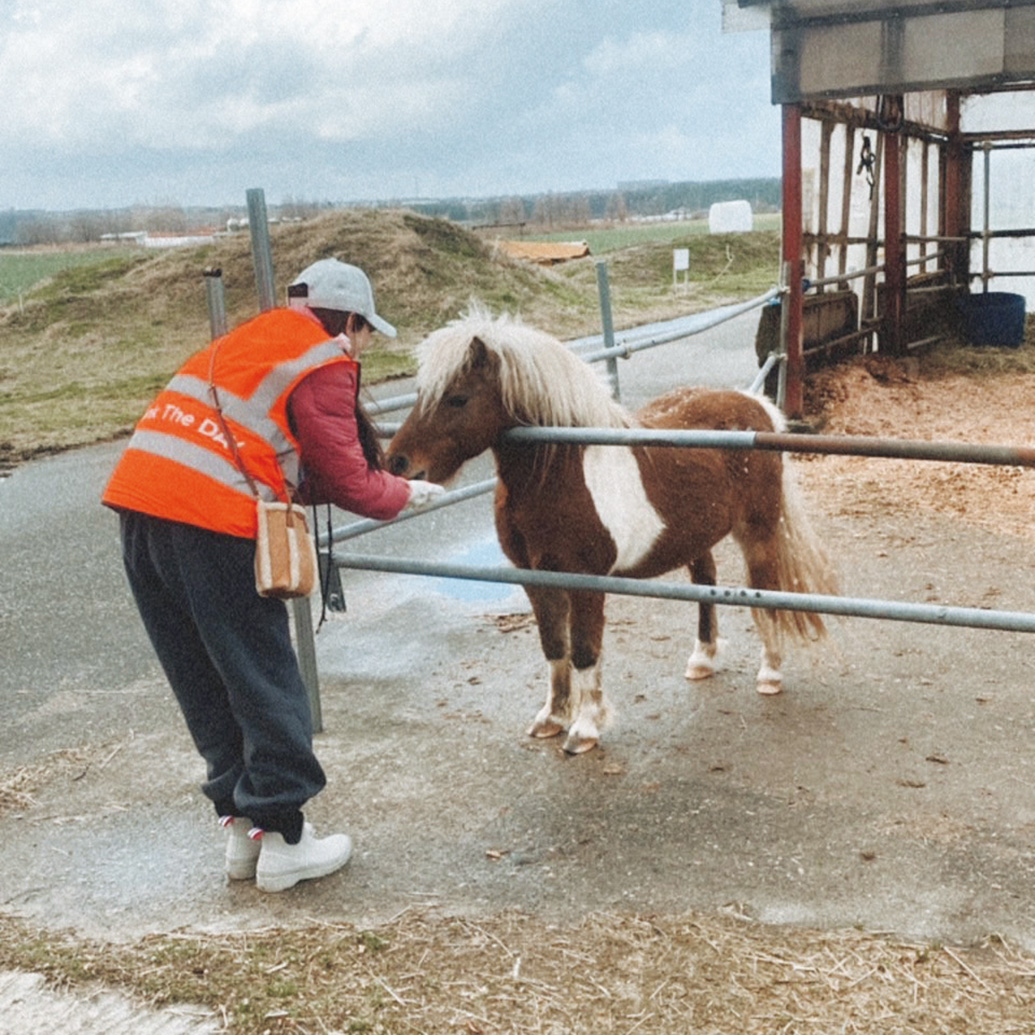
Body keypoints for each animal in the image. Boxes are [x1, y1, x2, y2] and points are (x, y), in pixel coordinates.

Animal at [389, 306, 840, 753]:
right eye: (420, 394)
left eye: (457, 398)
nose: (397, 463)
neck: (560, 471)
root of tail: (754, 404)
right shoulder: (535, 579)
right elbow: (554, 647)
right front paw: (552, 718)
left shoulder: (585, 582)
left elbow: (584, 650)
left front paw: (585, 728)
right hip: (696, 537)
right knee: (706, 585)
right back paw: (702, 660)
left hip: (758, 532)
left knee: (767, 594)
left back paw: (770, 674)